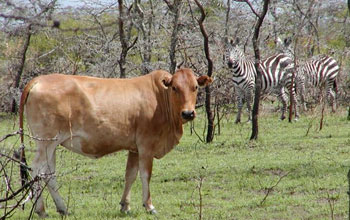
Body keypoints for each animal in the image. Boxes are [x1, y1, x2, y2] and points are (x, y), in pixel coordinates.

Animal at [19, 68, 212, 217]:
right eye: (175, 88)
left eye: (195, 87)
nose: (188, 113)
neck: (160, 99)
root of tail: (39, 80)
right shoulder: (146, 146)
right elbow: (145, 175)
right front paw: (149, 206)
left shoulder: (134, 148)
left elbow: (130, 175)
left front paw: (125, 205)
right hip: (45, 143)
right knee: (37, 170)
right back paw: (41, 210)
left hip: (51, 145)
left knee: (49, 174)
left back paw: (62, 208)